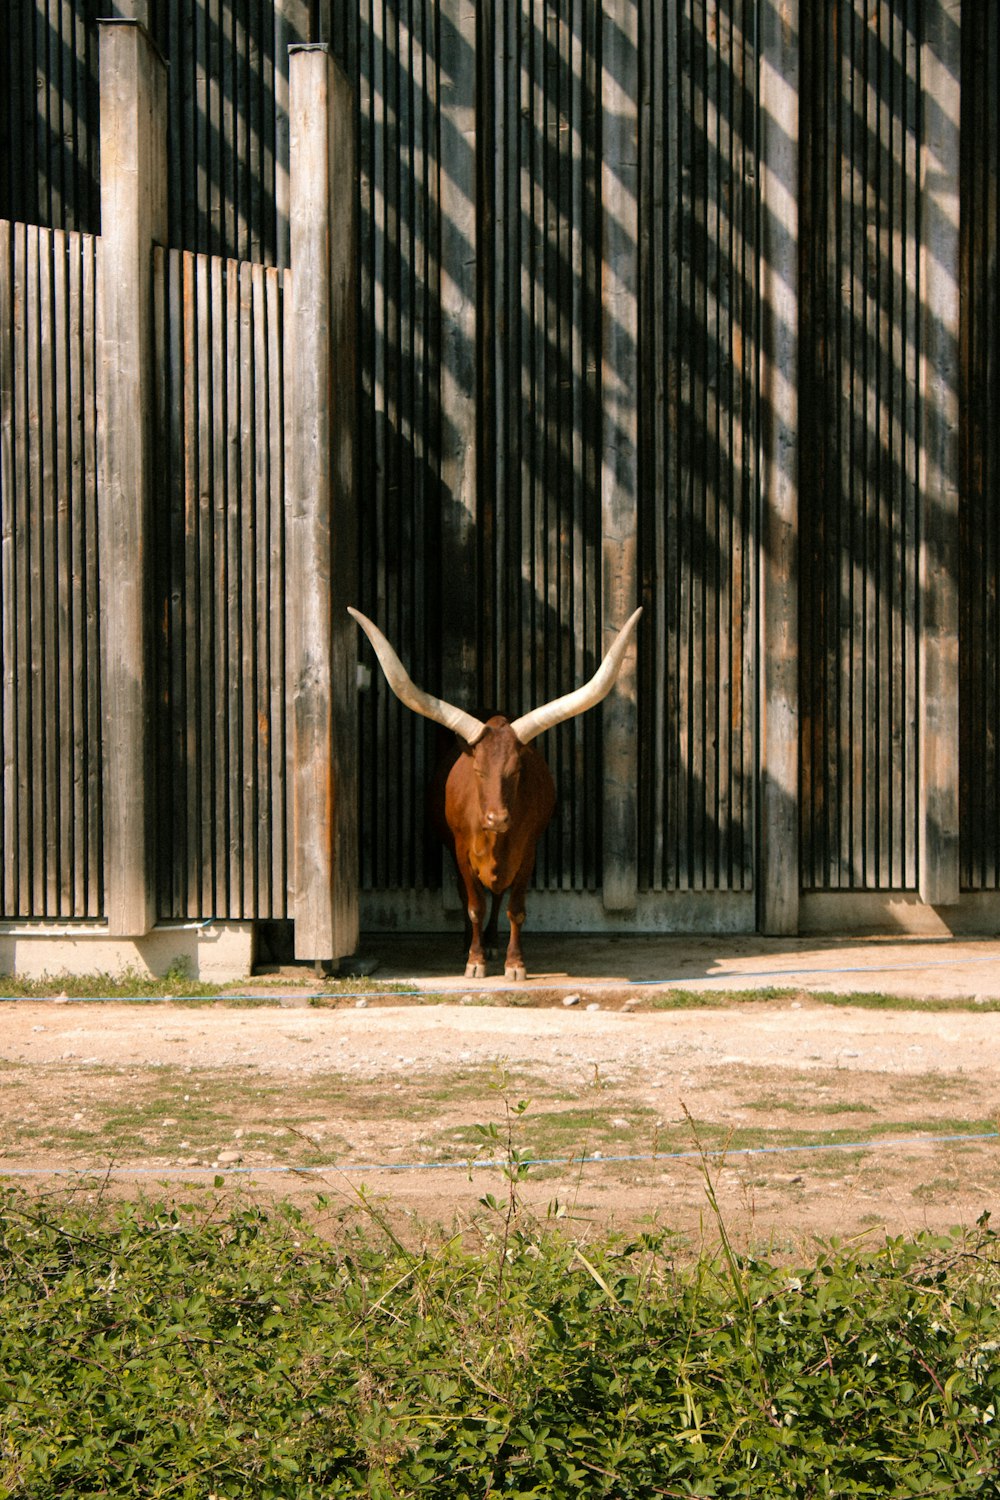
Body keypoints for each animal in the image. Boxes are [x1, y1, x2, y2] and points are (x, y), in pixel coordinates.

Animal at [347, 603, 641, 978]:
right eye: (477, 770)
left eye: (516, 771)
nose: (496, 818)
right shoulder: (461, 849)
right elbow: (473, 905)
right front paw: (474, 961)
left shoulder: (527, 852)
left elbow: (515, 908)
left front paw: (514, 963)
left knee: (499, 896)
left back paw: (491, 940)